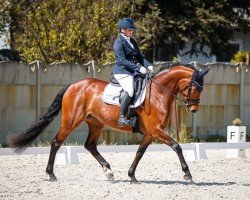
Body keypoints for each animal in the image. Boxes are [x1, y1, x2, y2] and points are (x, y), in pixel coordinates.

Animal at [7, 63, 210, 183]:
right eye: (195, 88)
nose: (194, 109)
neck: (158, 94)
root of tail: (73, 85)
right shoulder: (156, 131)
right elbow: (177, 146)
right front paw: (188, 174)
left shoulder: (150, 134)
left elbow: (139, 153)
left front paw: (132, 175)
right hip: (71, 121)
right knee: (56, 142)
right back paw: (51, 174)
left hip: (96, 123)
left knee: (90, 145)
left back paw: (109, 171)